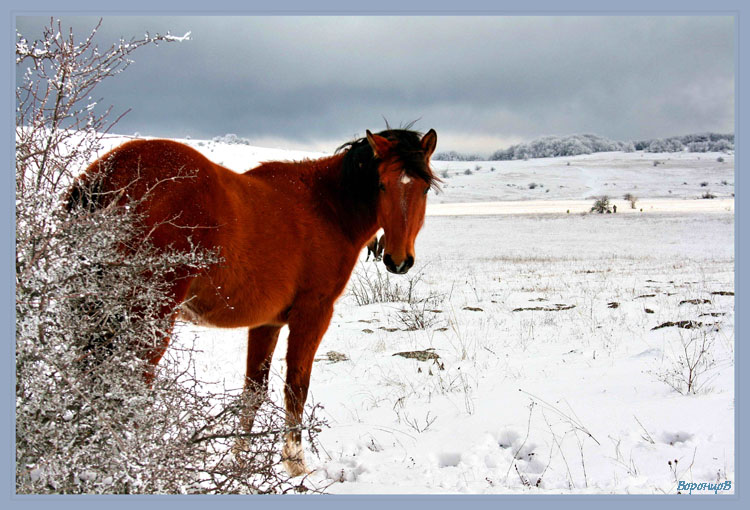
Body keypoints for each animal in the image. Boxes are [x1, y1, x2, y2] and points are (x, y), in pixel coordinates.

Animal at [69, 126, 440, 474]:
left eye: (424, 188)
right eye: (381, 185)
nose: (398, 260)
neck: (327, 208)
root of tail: (113, 171)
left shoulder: (267, 323)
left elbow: (252, 393)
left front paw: (240, 460)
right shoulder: (313, 314)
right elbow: (296, 388)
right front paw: (295, 463)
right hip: (148, 317)